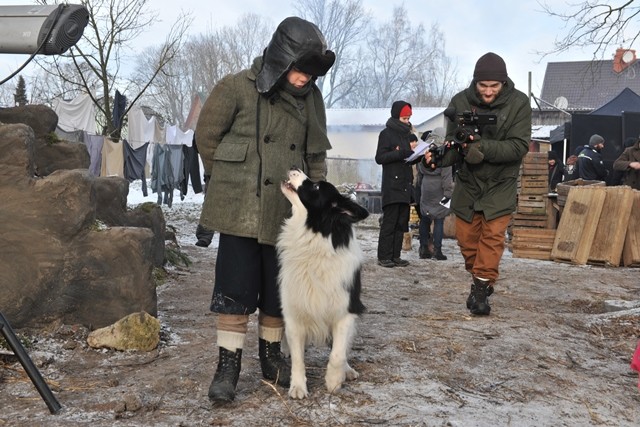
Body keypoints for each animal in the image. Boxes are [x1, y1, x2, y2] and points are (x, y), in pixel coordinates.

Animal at [276, 169, 370, 400]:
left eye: (317, 187)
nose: (294, 168)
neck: (315, 239)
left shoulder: (346, 310)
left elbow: (338, 353)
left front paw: (334, 380)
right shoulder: (294, 310)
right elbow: (298, 358)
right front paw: (298, 387)